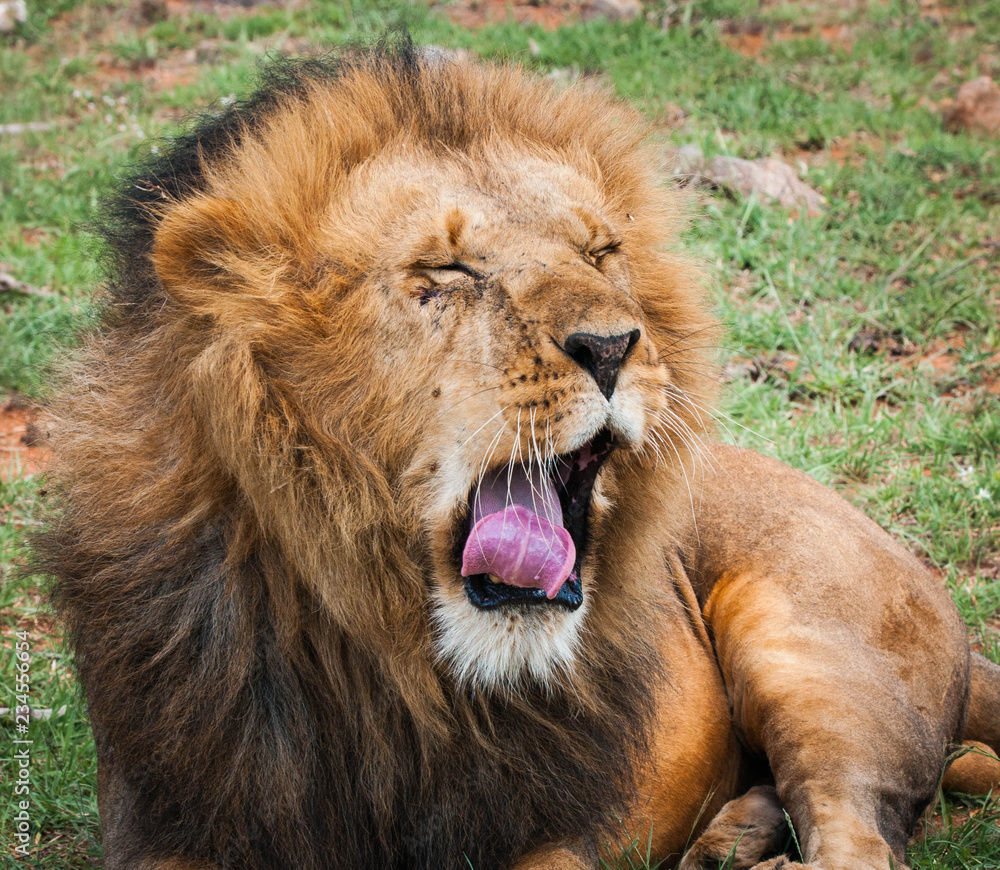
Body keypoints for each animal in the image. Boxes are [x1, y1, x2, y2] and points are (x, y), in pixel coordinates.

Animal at [37, 39, 1000, 870]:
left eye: (601, 252)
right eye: (449, 271)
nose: (612, 345)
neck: (387, 658)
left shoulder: (562, 832)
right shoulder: (166, 816)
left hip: (813, 653)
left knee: (859, 835)